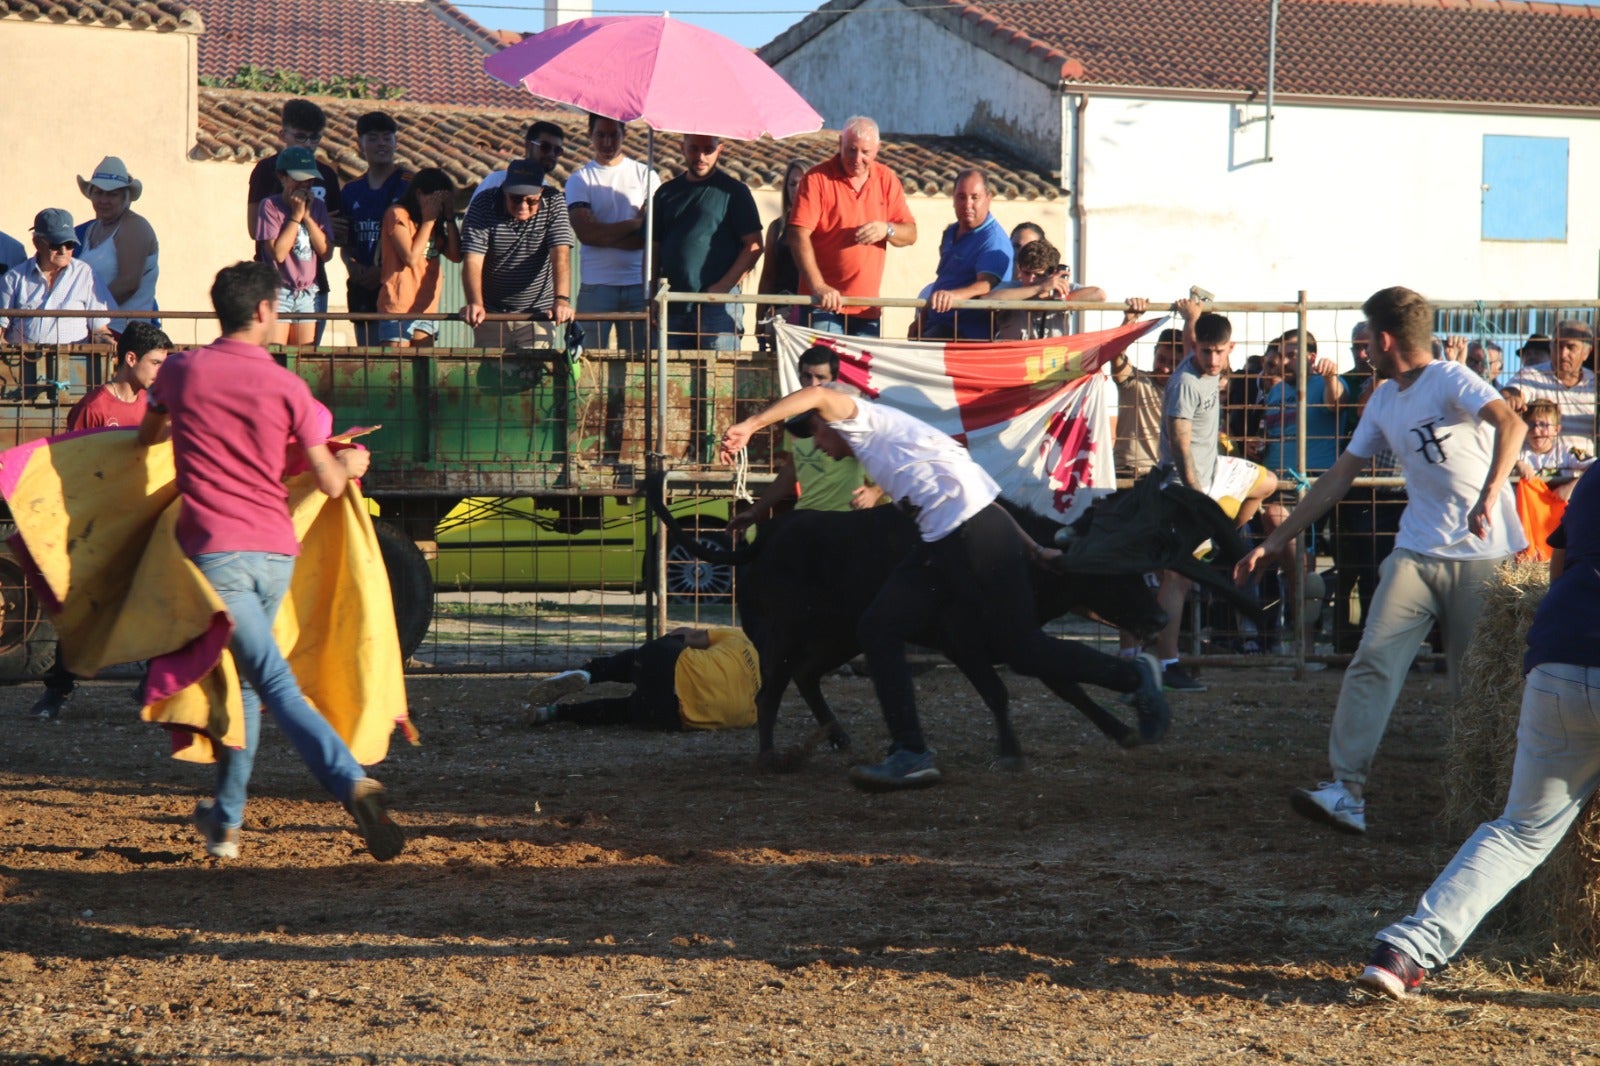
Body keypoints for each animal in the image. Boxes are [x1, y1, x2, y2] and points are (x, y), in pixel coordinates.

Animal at [643, 473, 1254, 765]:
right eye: (1117, 573)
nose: (1157, 616)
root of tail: (761, 540)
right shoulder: (970, 641)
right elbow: (1006, 690)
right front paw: (1010, 750)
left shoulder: (1008, 639)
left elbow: (1063, 683)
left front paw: (1121, 729)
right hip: (784, 632)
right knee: (771, 689)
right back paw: (771, 754)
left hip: (839, 635)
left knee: (808, 676)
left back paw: (837, 737)